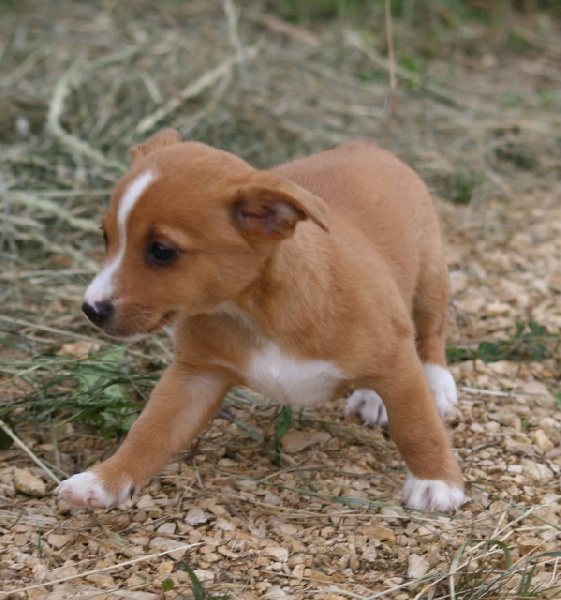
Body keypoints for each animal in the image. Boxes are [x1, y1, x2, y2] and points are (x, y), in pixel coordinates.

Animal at [56, 129, 465, 512]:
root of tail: (366, 147)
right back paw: (373, 398)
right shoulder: (195, 377)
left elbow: (416, 426)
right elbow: (149, 431)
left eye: (161, 251)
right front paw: (104, 479)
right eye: (106, 236)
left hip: (429, 280)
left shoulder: (397, 363)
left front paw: (436, 481)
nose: (91, 309)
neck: (253, 313)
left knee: (431, 334)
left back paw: (436, 386)